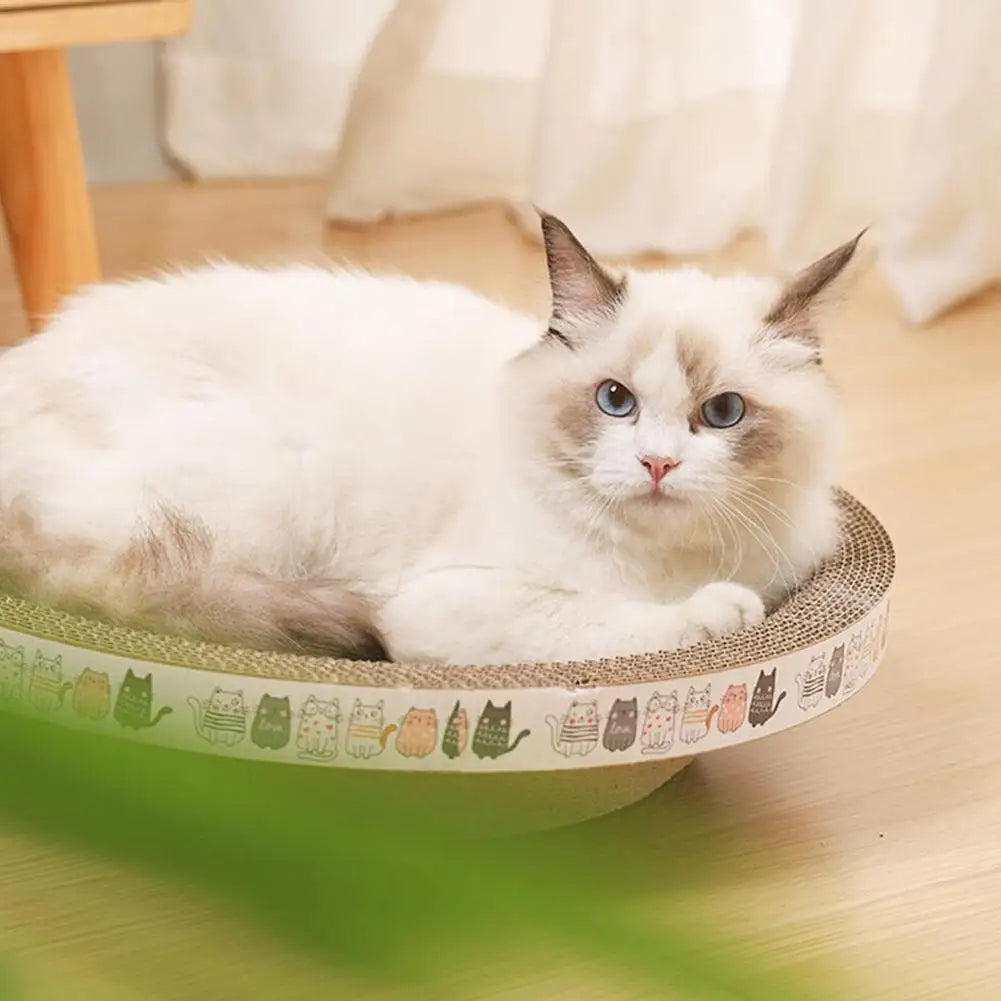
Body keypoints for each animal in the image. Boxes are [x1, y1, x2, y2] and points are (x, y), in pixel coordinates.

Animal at [0, 211, 860, 664]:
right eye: (614, 401)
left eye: (722, 414)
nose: (656, 463)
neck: (670, 564)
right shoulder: (460, 603)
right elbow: (617, 624)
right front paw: (719, 612)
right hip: (274, 485)